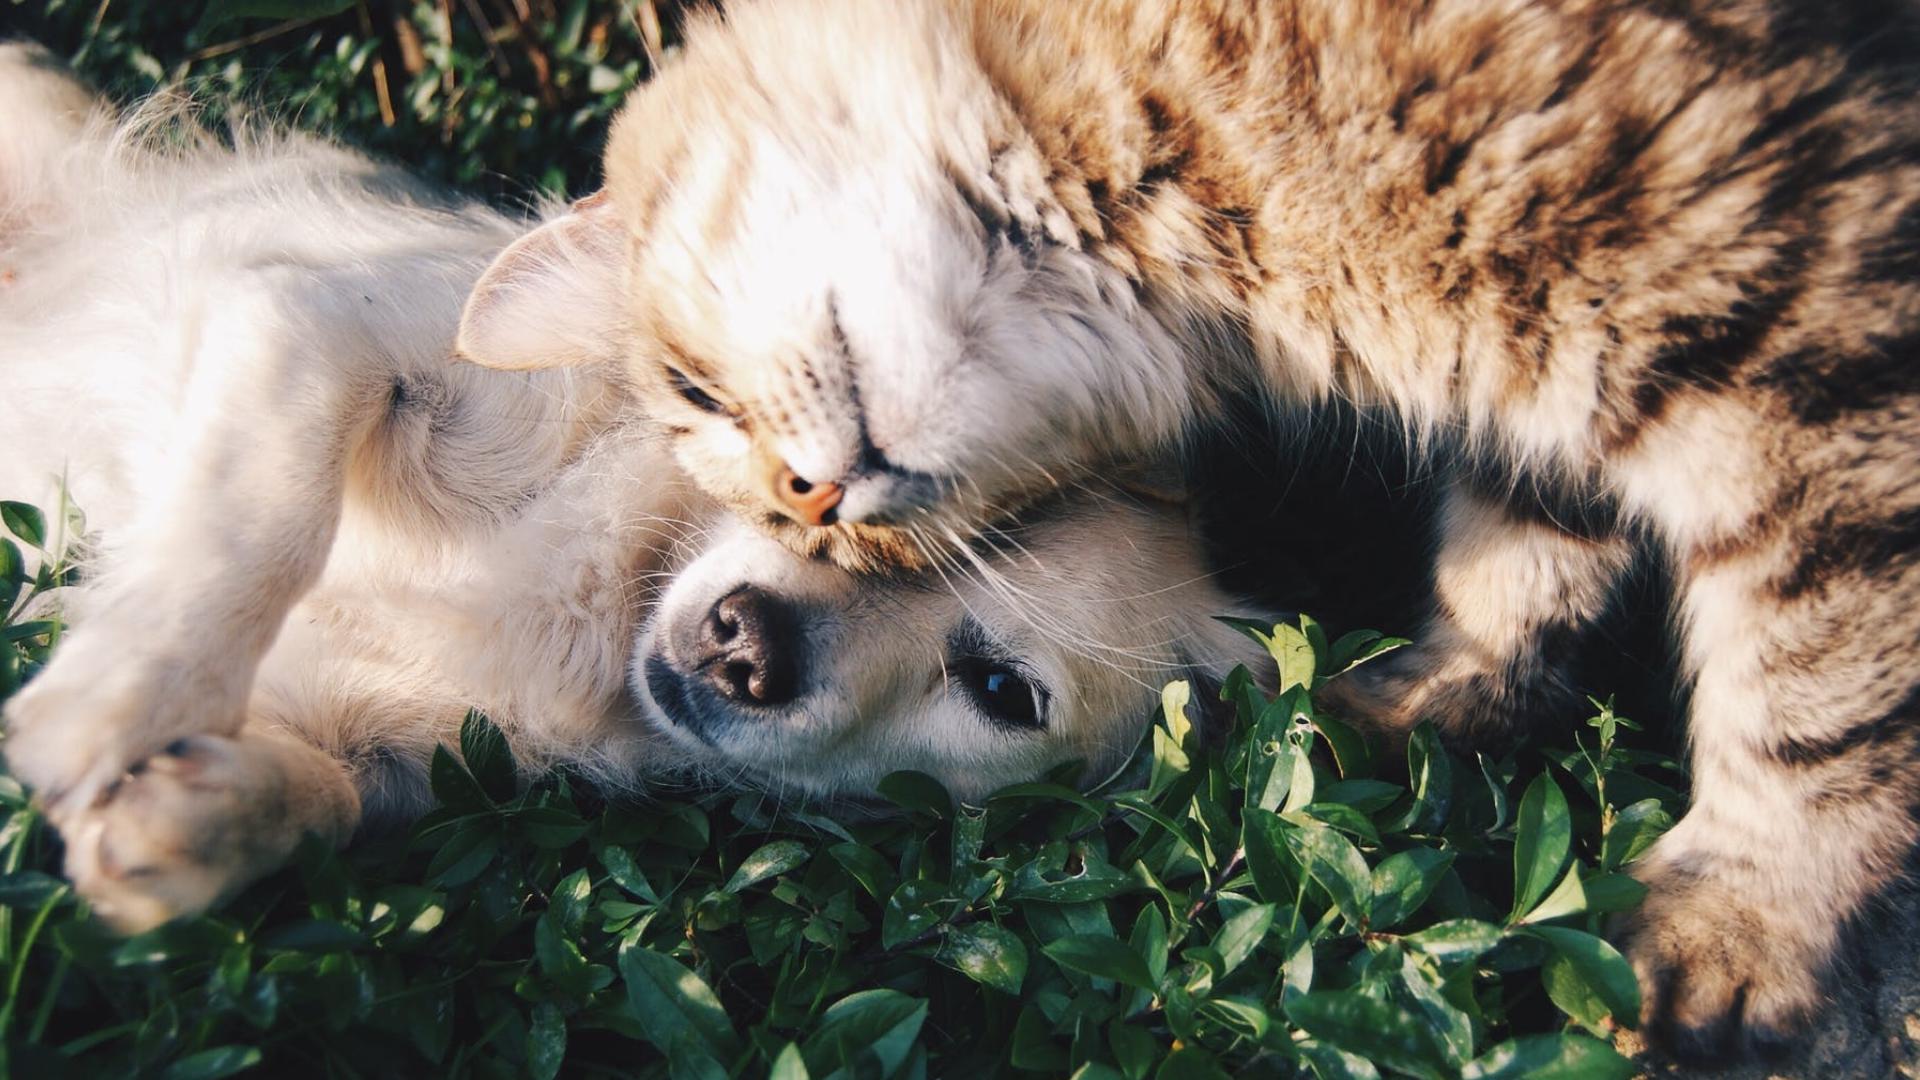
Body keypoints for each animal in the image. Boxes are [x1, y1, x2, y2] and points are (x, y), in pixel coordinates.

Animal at [460, 0, 1920, 1053]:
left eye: (696, 394)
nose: (814, 508)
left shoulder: (1807, 336)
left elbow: (1817, 686)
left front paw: (1748, 920)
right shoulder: (1554, 388)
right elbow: (1523, 549)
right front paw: (1427, 700)